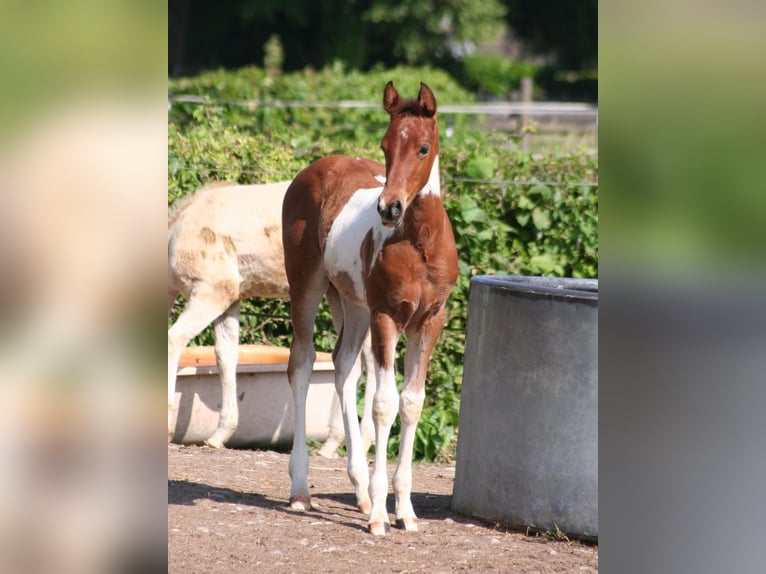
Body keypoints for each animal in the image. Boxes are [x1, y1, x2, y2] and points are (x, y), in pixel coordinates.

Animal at [168, 181, 376, 453]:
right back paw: (336, 444)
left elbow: (173, 339)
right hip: (339, 292)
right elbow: (225, 356)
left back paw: (359, 441)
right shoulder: (231, 300)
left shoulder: (212, 293)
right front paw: (220, 433)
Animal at [282, 81, 458, 535]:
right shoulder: (387, 316)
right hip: (308, 288)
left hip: (353, 302)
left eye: (423, 147)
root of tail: (319, 166)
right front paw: (381, 514)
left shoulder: (429, 321)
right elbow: (384, 404)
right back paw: (301, 490)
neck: (418, 242)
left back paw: (359, 491)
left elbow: (412, 402)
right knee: (302, 364)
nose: (388, 208)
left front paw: (406, 511)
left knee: (344, 366)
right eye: (385, 145)